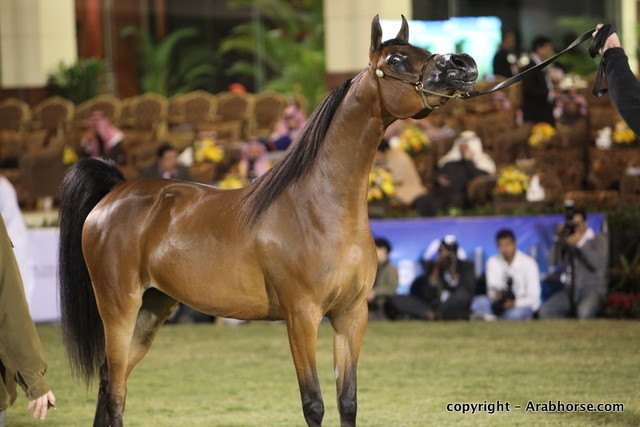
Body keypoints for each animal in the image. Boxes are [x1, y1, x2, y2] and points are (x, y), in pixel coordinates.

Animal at [58, 15, 477, 427]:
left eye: (420, 48)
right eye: (397, 60)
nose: (464, 64)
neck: (320, 209)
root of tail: (114, 193)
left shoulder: (351, 315)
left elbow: (348, 401)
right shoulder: (301, 316)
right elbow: (314, 404)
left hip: (152, 309)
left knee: (108, 381)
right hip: (119, 307)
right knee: (115, 393)